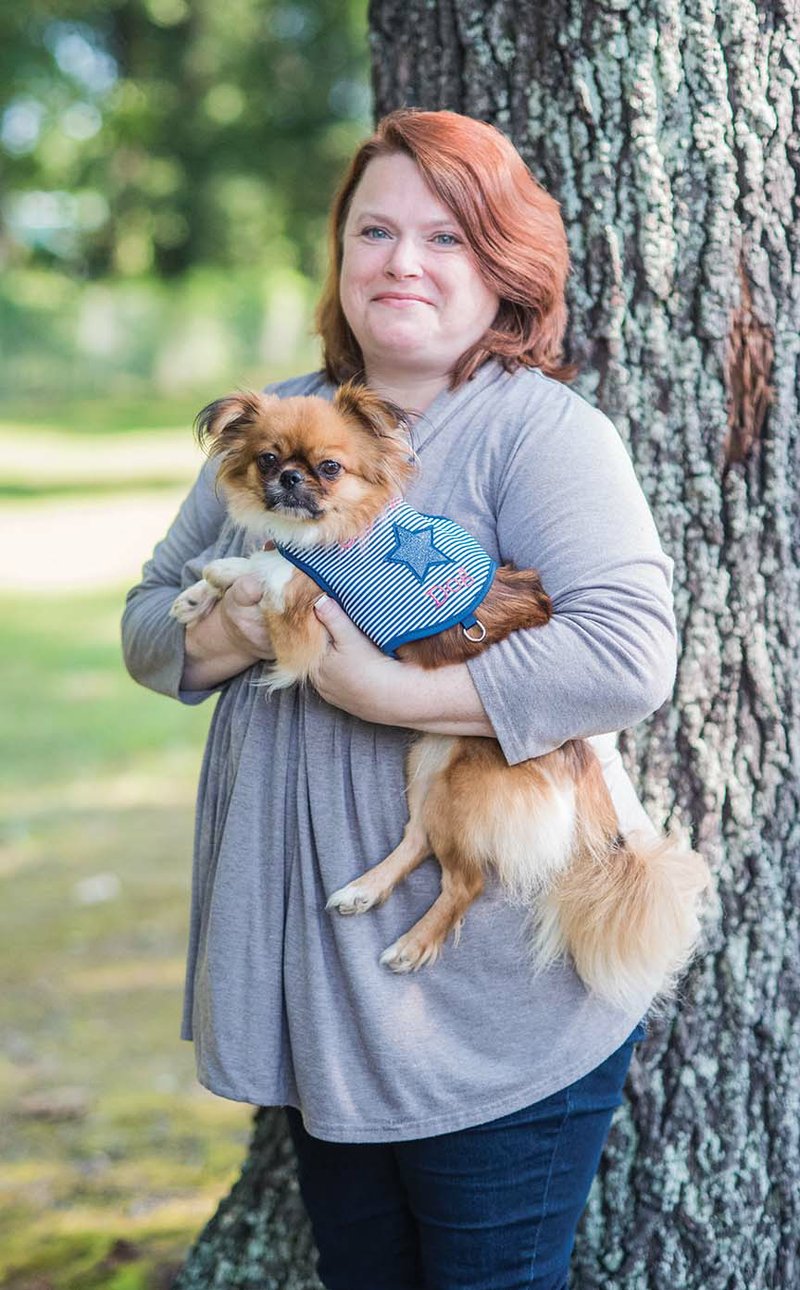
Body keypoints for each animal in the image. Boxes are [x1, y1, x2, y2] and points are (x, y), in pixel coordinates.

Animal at [171, 376, 707, 1011]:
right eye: (268, 460)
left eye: (329, 467)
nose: (291, 479)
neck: (334, 528)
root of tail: (577, 762)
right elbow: (254, 561)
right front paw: (197, 595)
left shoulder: (304, 621)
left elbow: (270, 571)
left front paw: (227, 574)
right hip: (428, 766)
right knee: (417, 839)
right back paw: (363, 891)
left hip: (462, 789)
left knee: (465, 881)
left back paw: (411, 943)